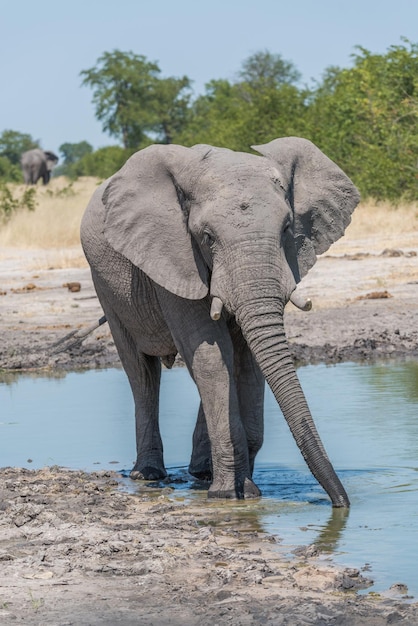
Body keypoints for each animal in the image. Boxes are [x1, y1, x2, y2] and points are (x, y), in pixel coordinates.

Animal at [81, 136, 360, 508]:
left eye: (287, 228)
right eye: (208, 237)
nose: (341, 504)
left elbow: (247, 360)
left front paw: (243, 489)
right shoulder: (175, 253)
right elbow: (211, 356)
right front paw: (230, 494)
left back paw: (200, 473)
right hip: (107, 289)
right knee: (142, 373)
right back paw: (149, 475)